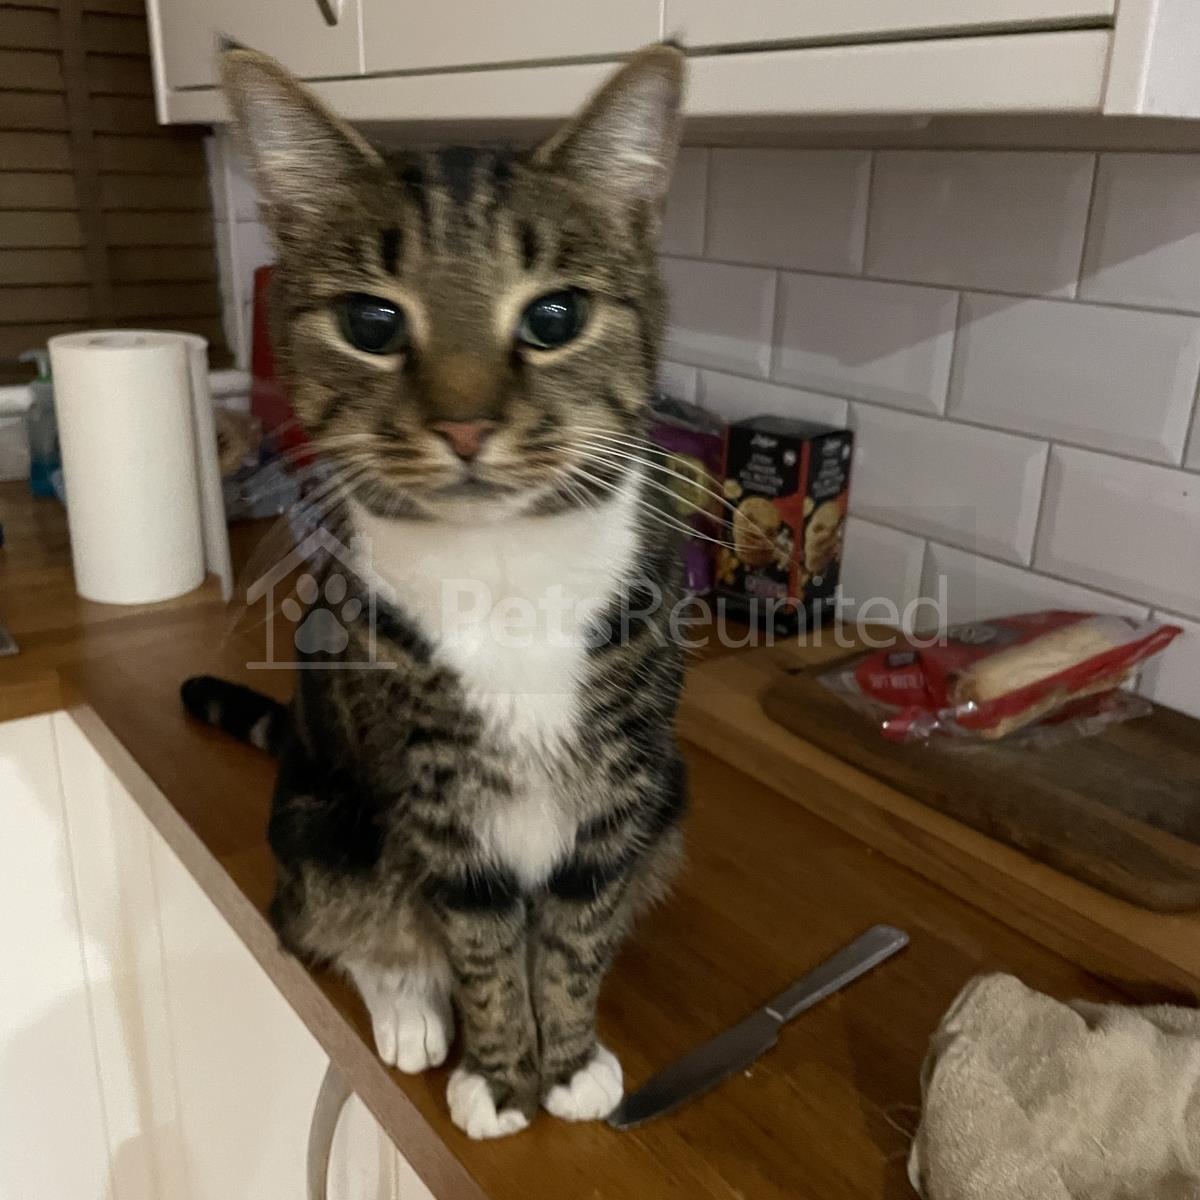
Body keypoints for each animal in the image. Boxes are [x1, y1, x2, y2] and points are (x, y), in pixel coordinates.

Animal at [182, 43, 688, 1140]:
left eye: (555, 316)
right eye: (372, 321)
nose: (464, 425)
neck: (503, 569)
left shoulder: (621, 783)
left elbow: (576, 931)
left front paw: (567, 1060)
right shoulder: (438, 793)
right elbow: (483, 945)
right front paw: (499, 1076)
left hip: (672, 798)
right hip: (325, 824)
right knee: (332, 918)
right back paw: (411, 1011)